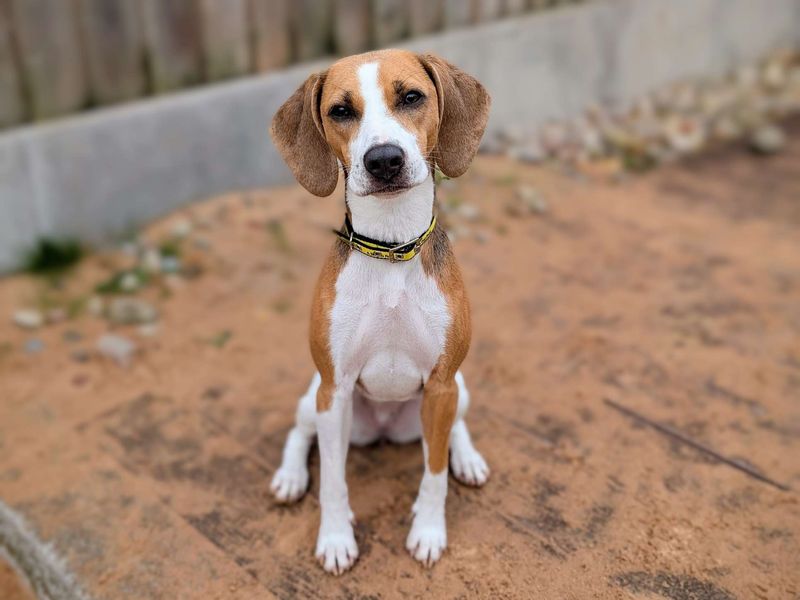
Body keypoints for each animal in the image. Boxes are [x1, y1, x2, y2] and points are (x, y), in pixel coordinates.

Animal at [270, 49, 488, 576]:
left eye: (411, 97)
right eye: (340, 111)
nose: (384, 159)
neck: (391, 248)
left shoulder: (442, 385)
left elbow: (434, 474)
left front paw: (428, 532)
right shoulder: (334, 391)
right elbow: (333, 480)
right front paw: (335, 537)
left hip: (457, 391)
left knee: (454, 429)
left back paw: (468, 458)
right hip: (316, 397)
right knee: (298, 432)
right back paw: (290, 476)